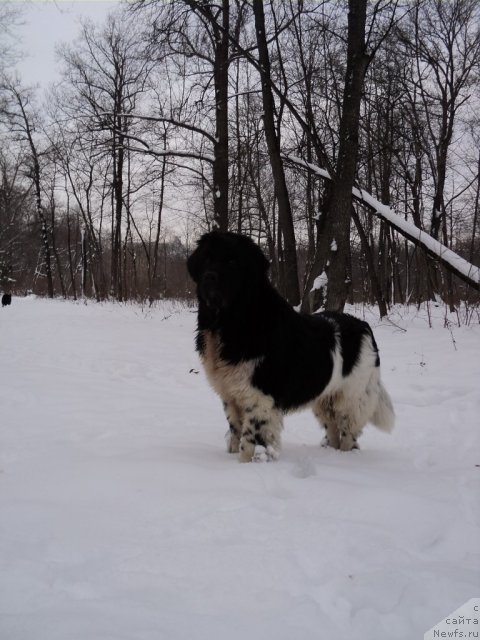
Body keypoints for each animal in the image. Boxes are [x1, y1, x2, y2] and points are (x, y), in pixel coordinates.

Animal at [188, 232, 394, 462]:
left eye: (232, 261)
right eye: (206, 259)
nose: (209, 277)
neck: (233, 321)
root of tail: (364, 326)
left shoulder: (259, 397)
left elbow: (250, 439)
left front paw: (248, 463)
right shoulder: (230, 396)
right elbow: (235, 431)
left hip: (352, 398)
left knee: (348, 433)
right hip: (325, 399)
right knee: (332, 429)